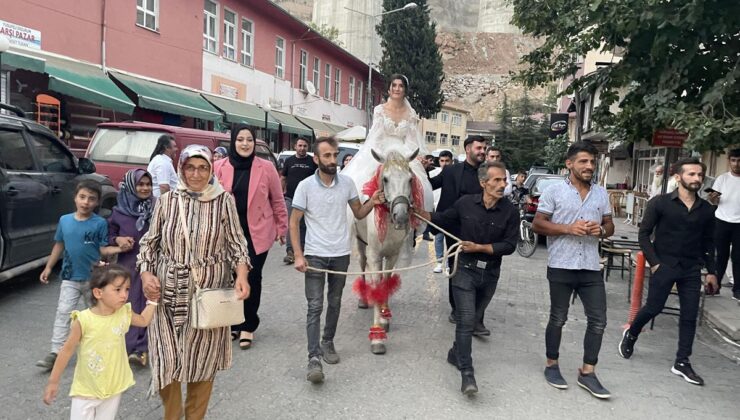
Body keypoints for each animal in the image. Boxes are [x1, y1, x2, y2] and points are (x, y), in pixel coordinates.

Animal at [352, 146, 422, 352]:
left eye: (410, 179)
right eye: (385, 179)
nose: (401, 215)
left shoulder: (392, 255)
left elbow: (386, 280)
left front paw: (384, 317)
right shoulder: (374, 255)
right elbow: (376, 283)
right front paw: (377, 336)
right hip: (361, 244)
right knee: (363, 265)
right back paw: (363, 299)